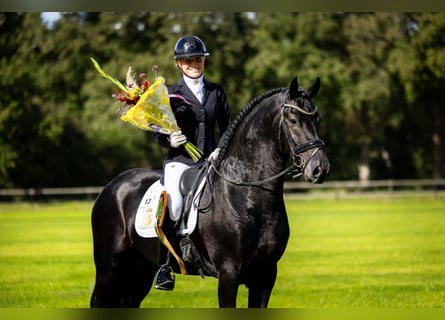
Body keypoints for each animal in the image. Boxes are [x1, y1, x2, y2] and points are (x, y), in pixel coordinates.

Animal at [90, 75, 330, 308]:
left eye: (318, 119)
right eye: (293, 121)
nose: (320, 168)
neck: (247, 194)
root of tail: (112, 186)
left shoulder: (265, 274)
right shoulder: (228, 273)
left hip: (139, 270)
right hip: (108, 268)